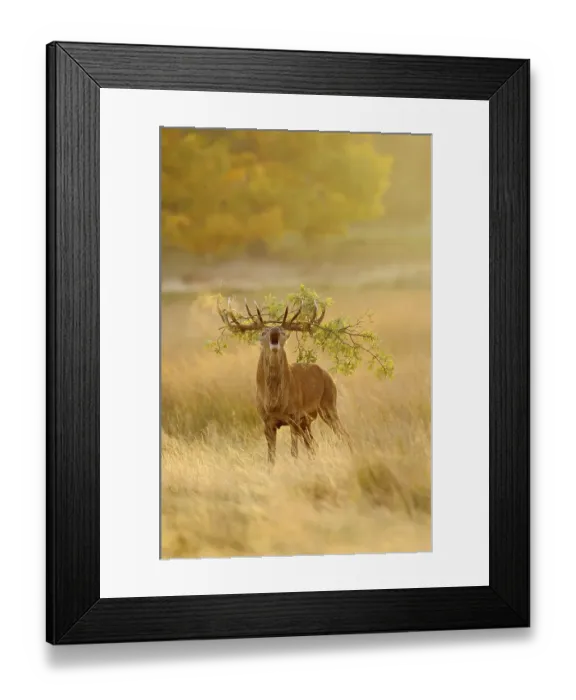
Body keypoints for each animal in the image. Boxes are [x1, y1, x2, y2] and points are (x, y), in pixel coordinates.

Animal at [218, 298, 352, 465]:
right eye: (263, 332)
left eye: (283, 332)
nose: (274, 329)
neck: (275, 403)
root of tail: (326, 374)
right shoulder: (266, 421)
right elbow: (271, 457)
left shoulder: (294, 416)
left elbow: (294, 452)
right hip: (308, 420)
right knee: (313, 445)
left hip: (328, 403)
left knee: (343, 435)